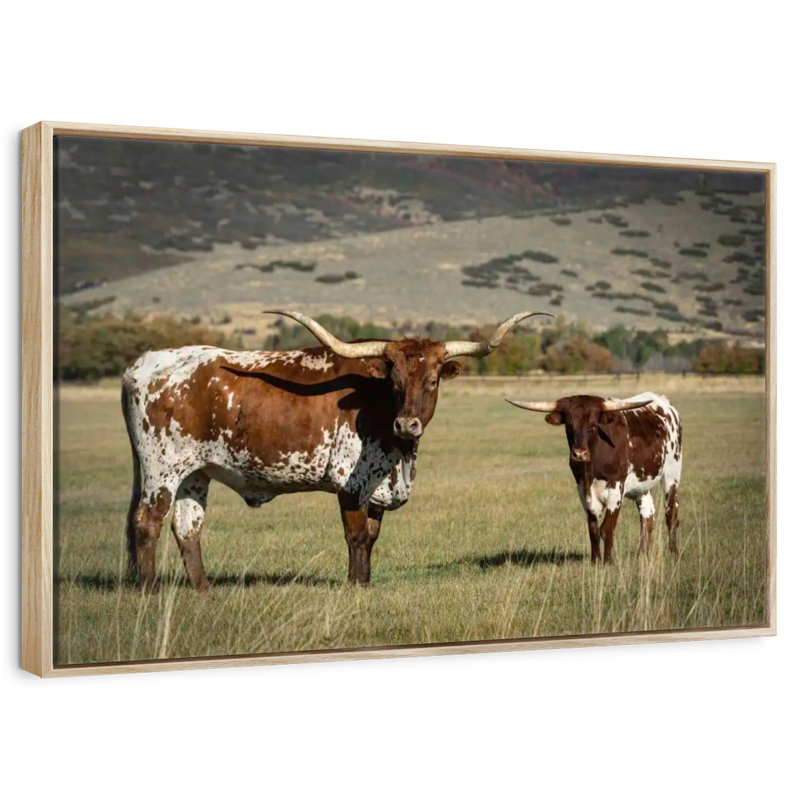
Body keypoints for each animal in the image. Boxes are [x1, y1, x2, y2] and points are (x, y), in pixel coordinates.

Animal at [122, 309, 551, 589]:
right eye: (394, 378)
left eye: (433, 379)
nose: (406, 424)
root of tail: (145, 363)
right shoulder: (351, 484)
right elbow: (357, 537)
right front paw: (355, 587)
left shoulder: (378, 486)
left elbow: (373, 537)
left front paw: (367, 584)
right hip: (162, 470)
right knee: (147, 523)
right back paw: (150, 591)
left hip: (195, 474)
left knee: (187, 528)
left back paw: (204, 591)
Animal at [505, 392, 682, 562]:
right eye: (569, 425)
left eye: (593, 426)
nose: (579, 454)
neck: (592, 467)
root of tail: (664, 402)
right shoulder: (583, 488)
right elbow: (593, 528)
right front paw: (595, 561)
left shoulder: (616, 485)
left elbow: (607, 527)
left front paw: (608, 561)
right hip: (642, 484)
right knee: (647, 515)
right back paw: (643, 555)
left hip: (672, 472)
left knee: (671, 514)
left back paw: (673, 554)